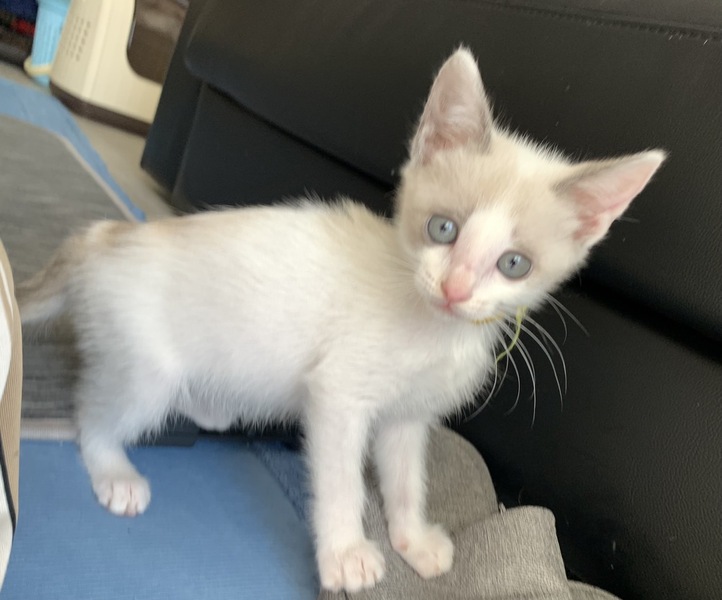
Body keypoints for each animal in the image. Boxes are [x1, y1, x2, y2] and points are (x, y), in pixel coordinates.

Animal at [17, 48, 664, 593]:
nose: (455, 288)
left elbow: (405, 477)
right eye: (443, 228)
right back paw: (114, 471)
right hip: (144, 367)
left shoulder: (408, 416)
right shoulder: (338, 394)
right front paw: (347, 552)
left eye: (513, 264)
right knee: (92, 415)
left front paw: (411, 538)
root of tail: (105, 237)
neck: (434, 327)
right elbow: (342, 478)